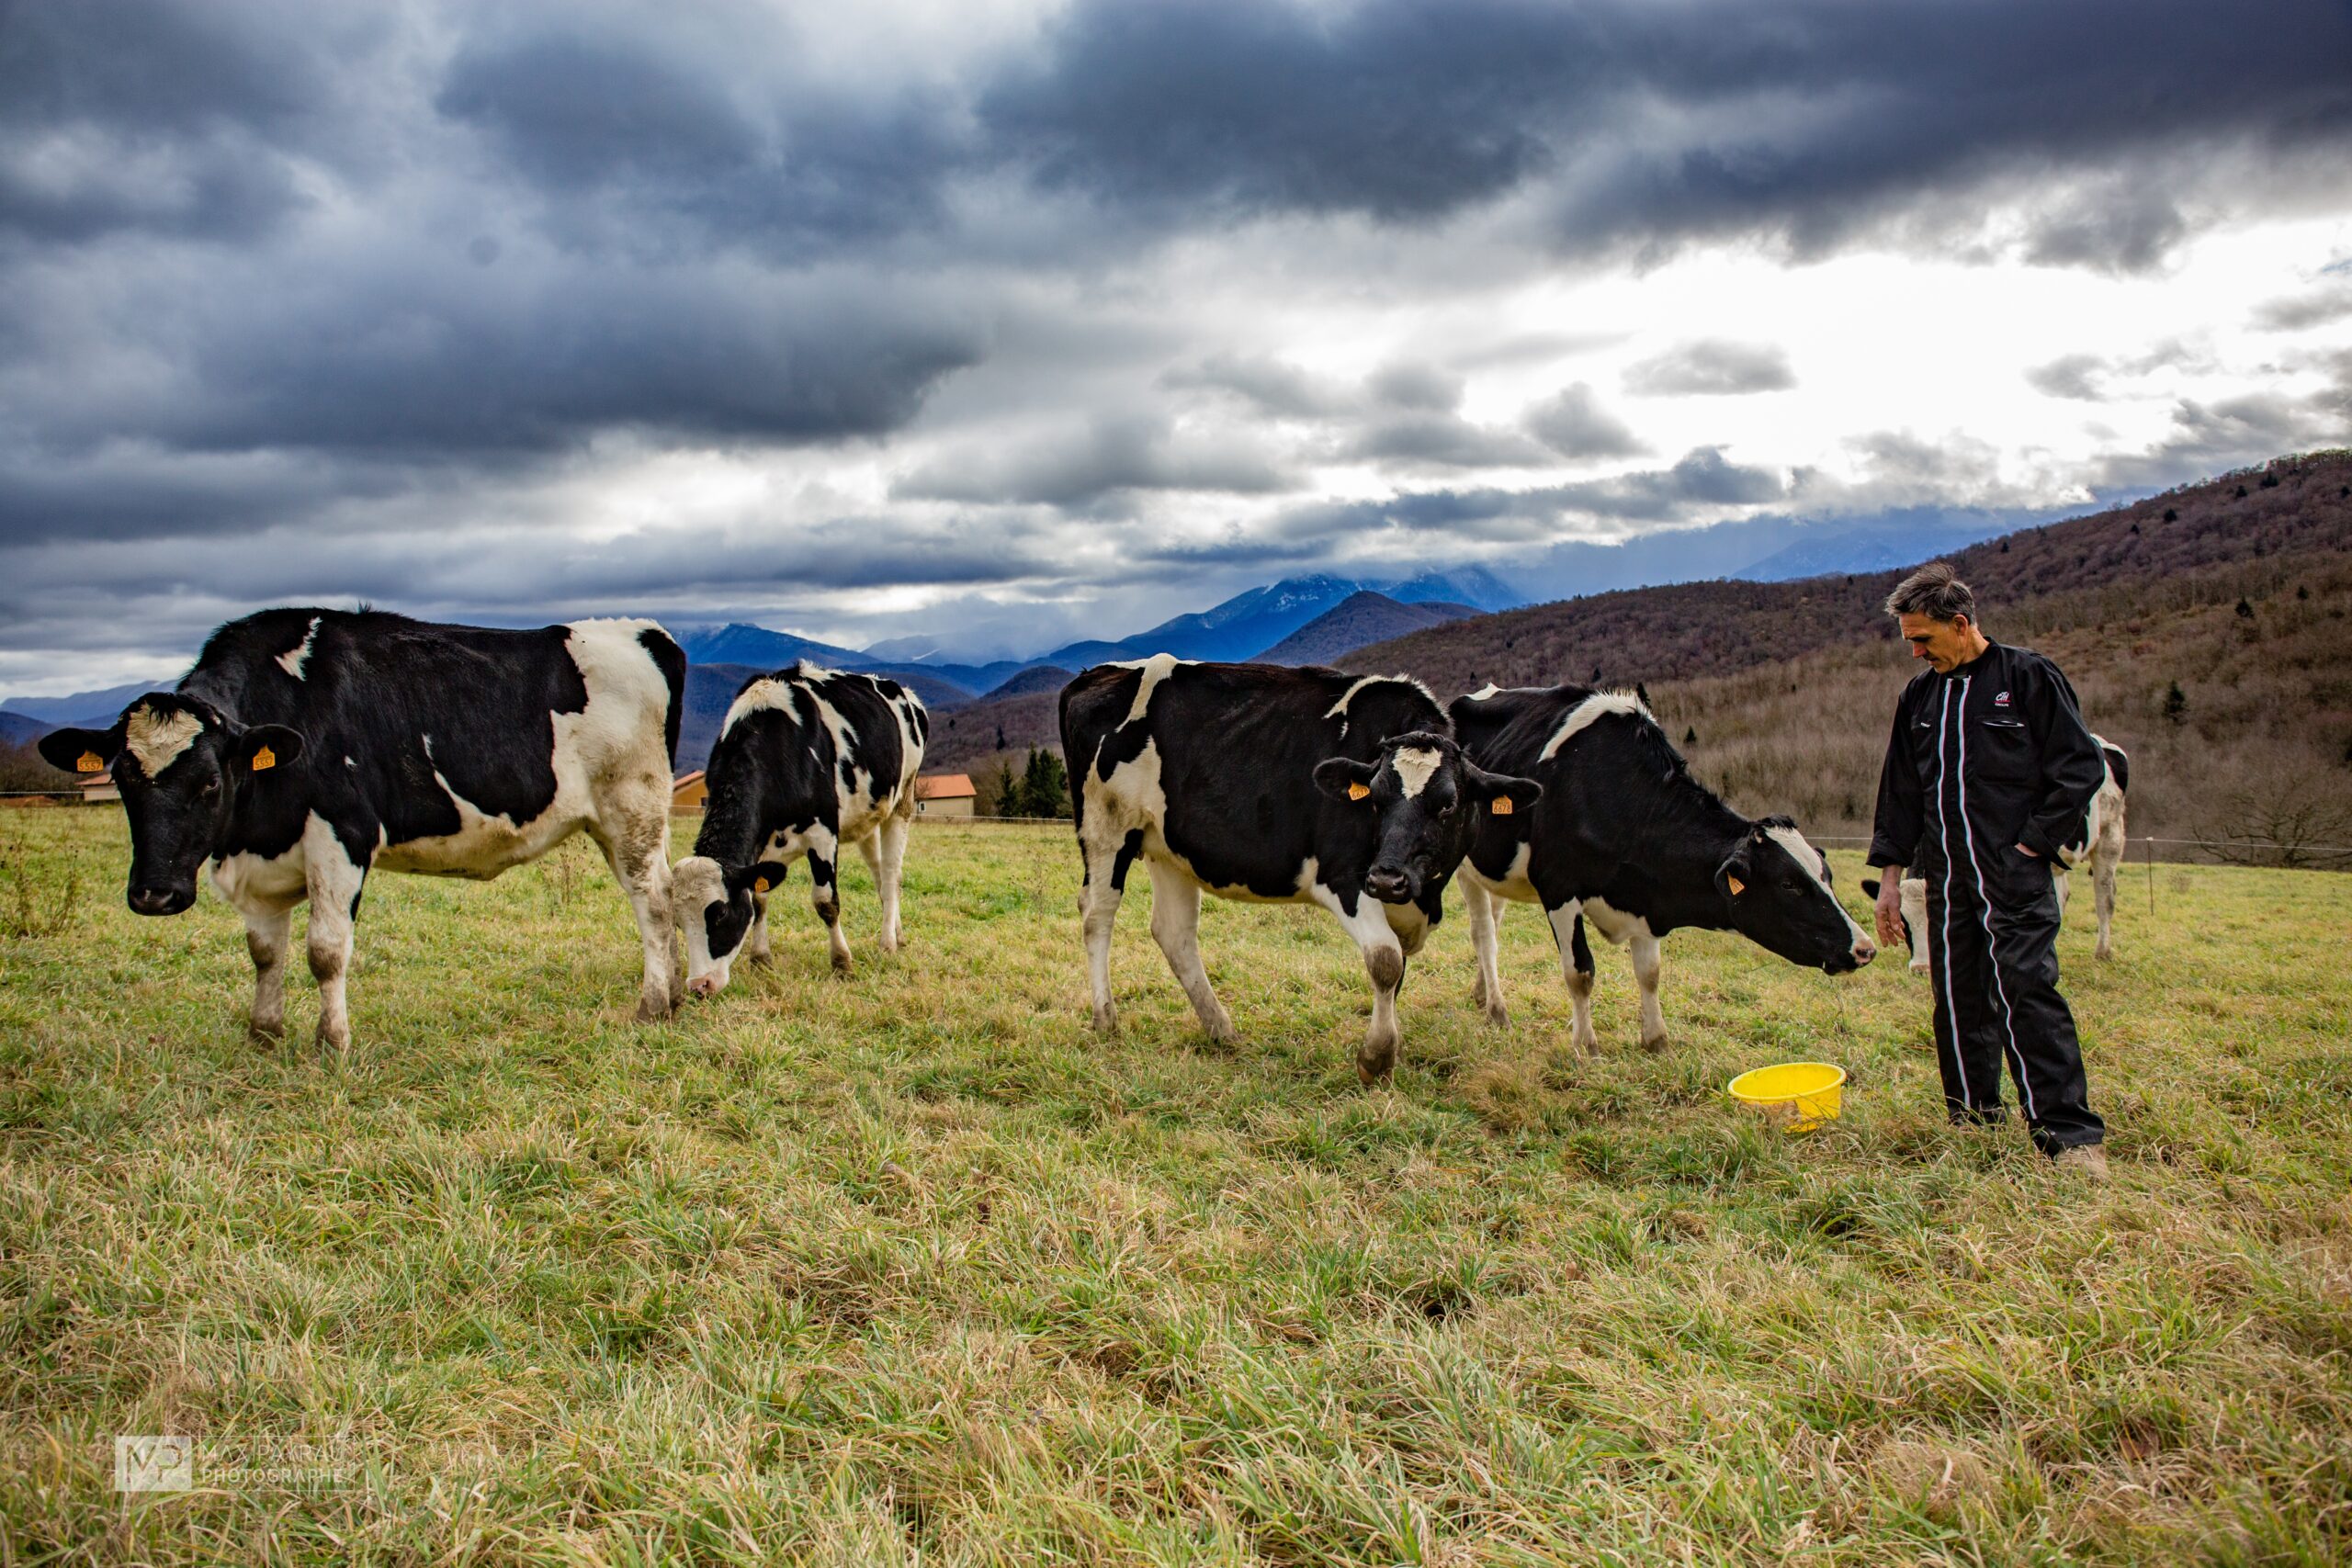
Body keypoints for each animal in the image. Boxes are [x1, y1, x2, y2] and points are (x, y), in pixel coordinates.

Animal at [37, 609, 686, 1051]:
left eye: (210, 783)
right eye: (122, 779)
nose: (154, 895)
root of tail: (643, 632)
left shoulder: (341, 835)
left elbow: (325, 950)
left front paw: (332, 1043)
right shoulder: (261, 856)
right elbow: (264, 952)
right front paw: (263, 1033)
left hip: (632, 807)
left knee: (652, 902)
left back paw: (653, 1005)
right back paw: (675, 992)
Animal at [672, 663, 927, 996]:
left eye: (721, 913)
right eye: (678, 922)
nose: (699, 985)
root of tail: (902, 691)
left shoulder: (823, 833)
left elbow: (826, 902)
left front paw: (842, 962)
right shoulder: (759, 850)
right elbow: (759, 901)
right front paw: (761, 959)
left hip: (902, 802)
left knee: (891, 875)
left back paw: (887, 943)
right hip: (867, 817)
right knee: (880, 875)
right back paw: (898, 934)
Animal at [1060, 657, 1540, 1083]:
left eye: (1447, 804)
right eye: (1375, 797)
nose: (1387, 878)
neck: (1423, 898)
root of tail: (1094, 675)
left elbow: (1397, 972)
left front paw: (1390, 1045)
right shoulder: (1344, 878)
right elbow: (1385, 960)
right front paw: (1376, 1058)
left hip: (1167, 847)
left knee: (1173, 932)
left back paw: (1221, 1029)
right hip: (1106, 827)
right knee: (1097, 915)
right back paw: (1106, 1019)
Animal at [1449, 683, 1875, 1053]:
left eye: (1827, 874)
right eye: (1789, 884)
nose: (1865, 948)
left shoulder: (1646, 897)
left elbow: (1650, 973)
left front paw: (1656, 1041)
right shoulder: (1559, 889)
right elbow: (1580, 972)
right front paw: (1586, 1047)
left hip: (1497, 871)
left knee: (1494, 927)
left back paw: (1481, 992)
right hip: (1466, 870)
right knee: (1484, 936)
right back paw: (1497, 1010)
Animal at [1864, 735, 2129, 969]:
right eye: (1903, 923)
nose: (1921, 968)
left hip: (2110, 836)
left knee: (2105, 897)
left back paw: (2103, 952)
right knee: (2061, 897)